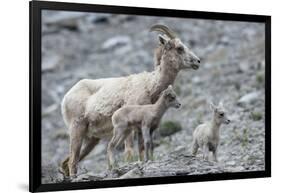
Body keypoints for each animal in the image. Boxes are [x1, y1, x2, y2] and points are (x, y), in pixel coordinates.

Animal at [59, 24, 199, 178]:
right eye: (179, 48)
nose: (197, 61)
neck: (149, 86)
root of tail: (66, 98)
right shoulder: (131, 128)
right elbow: (130, 151)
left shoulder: (140, 128)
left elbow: (142, 148)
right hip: (77, 130)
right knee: (72, 161)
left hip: (92, 139)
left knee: (67, 162)